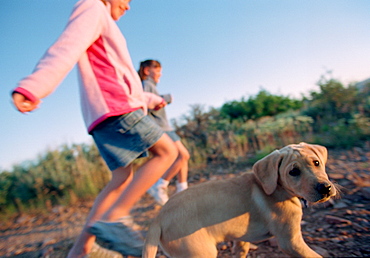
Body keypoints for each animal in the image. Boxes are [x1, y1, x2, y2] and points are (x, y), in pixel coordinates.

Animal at [143, 142, 336, 256]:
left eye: (316, 163)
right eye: (293, 172)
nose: (325, 188)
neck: (278, 189)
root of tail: (158, 218)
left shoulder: (240, 236)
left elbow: (240, 248)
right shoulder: (291, 241)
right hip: (199, 252)